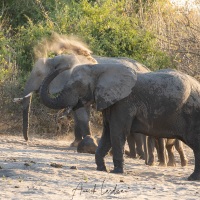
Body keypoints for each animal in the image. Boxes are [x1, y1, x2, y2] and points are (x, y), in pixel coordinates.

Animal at [39, 63, 200, 180]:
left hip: (193, 113)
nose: (62, 66)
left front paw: (116, 172)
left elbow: (117, 132)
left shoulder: (124, 103)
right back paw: (193, 178)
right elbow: (107, 134)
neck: (99, 69)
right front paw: (102, 169)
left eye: (77, 85)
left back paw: (192, 178)